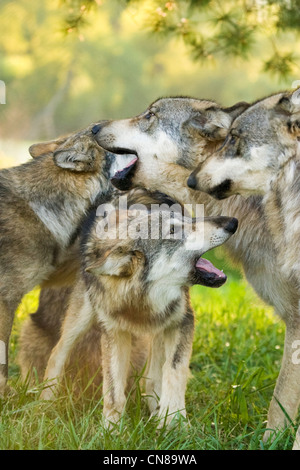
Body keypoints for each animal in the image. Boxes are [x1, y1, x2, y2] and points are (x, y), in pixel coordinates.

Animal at [39, 186, 237, 426]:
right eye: (173, 230)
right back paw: (44, 404)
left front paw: (173, 422)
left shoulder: (182, 320)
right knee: (57, 352)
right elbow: (113, 389)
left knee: (151, 376)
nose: (232, 222)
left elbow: (174, 371)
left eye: (188, 219)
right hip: (81, 318)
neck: (142, 300)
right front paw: (111, 428)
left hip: (161, 327)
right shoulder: (113, 331)